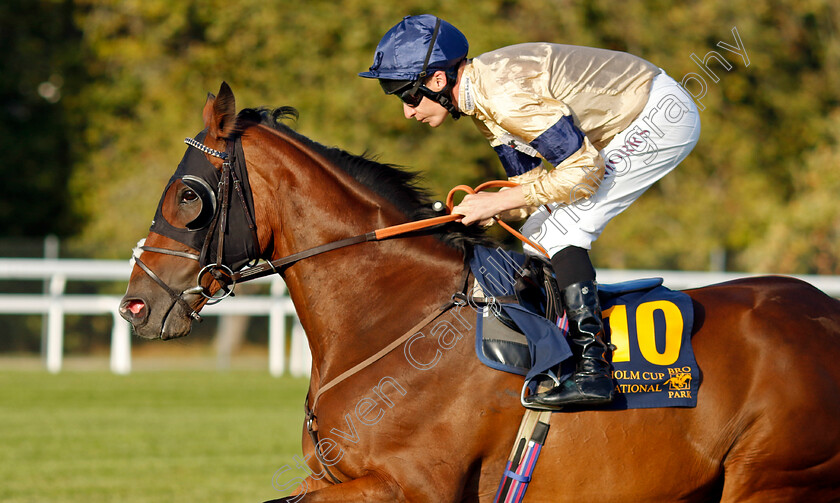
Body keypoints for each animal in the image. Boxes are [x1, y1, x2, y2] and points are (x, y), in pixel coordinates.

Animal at [118, 83, 840, 503]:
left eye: (187, 197)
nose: (135, 304)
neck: (397, 317)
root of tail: (827, 313)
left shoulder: (415, 488)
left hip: (775, 478)